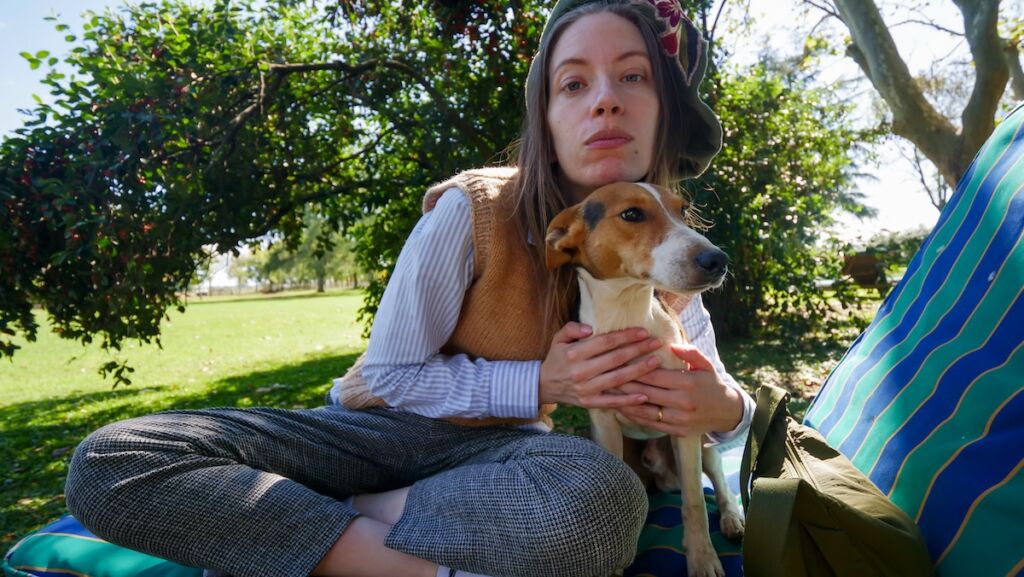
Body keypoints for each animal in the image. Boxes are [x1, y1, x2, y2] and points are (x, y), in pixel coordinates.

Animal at [544, 181, 745, 577]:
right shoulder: (604, 422)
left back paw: (732, 518)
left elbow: (695, 504)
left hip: (704, 444)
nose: (717, 260)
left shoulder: (686, 418)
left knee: (716, 484)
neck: (628, 313)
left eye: (683, 211)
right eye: (632, 214)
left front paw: (703, 559)